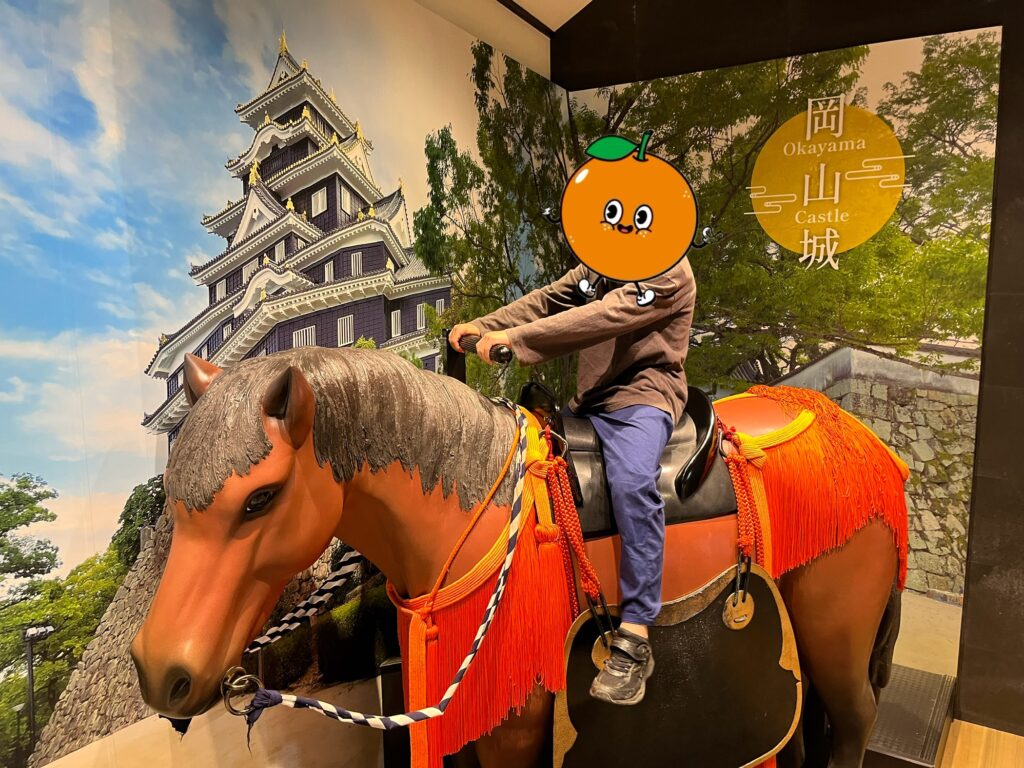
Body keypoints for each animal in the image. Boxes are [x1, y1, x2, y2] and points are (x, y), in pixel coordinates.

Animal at [131, 346, 906, 768]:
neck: (470, 514)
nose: (158, 671)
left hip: (837, 633)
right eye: (170, 497)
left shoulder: (516, 729)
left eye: (260, 499)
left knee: (856, 720)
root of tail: (851, 427)